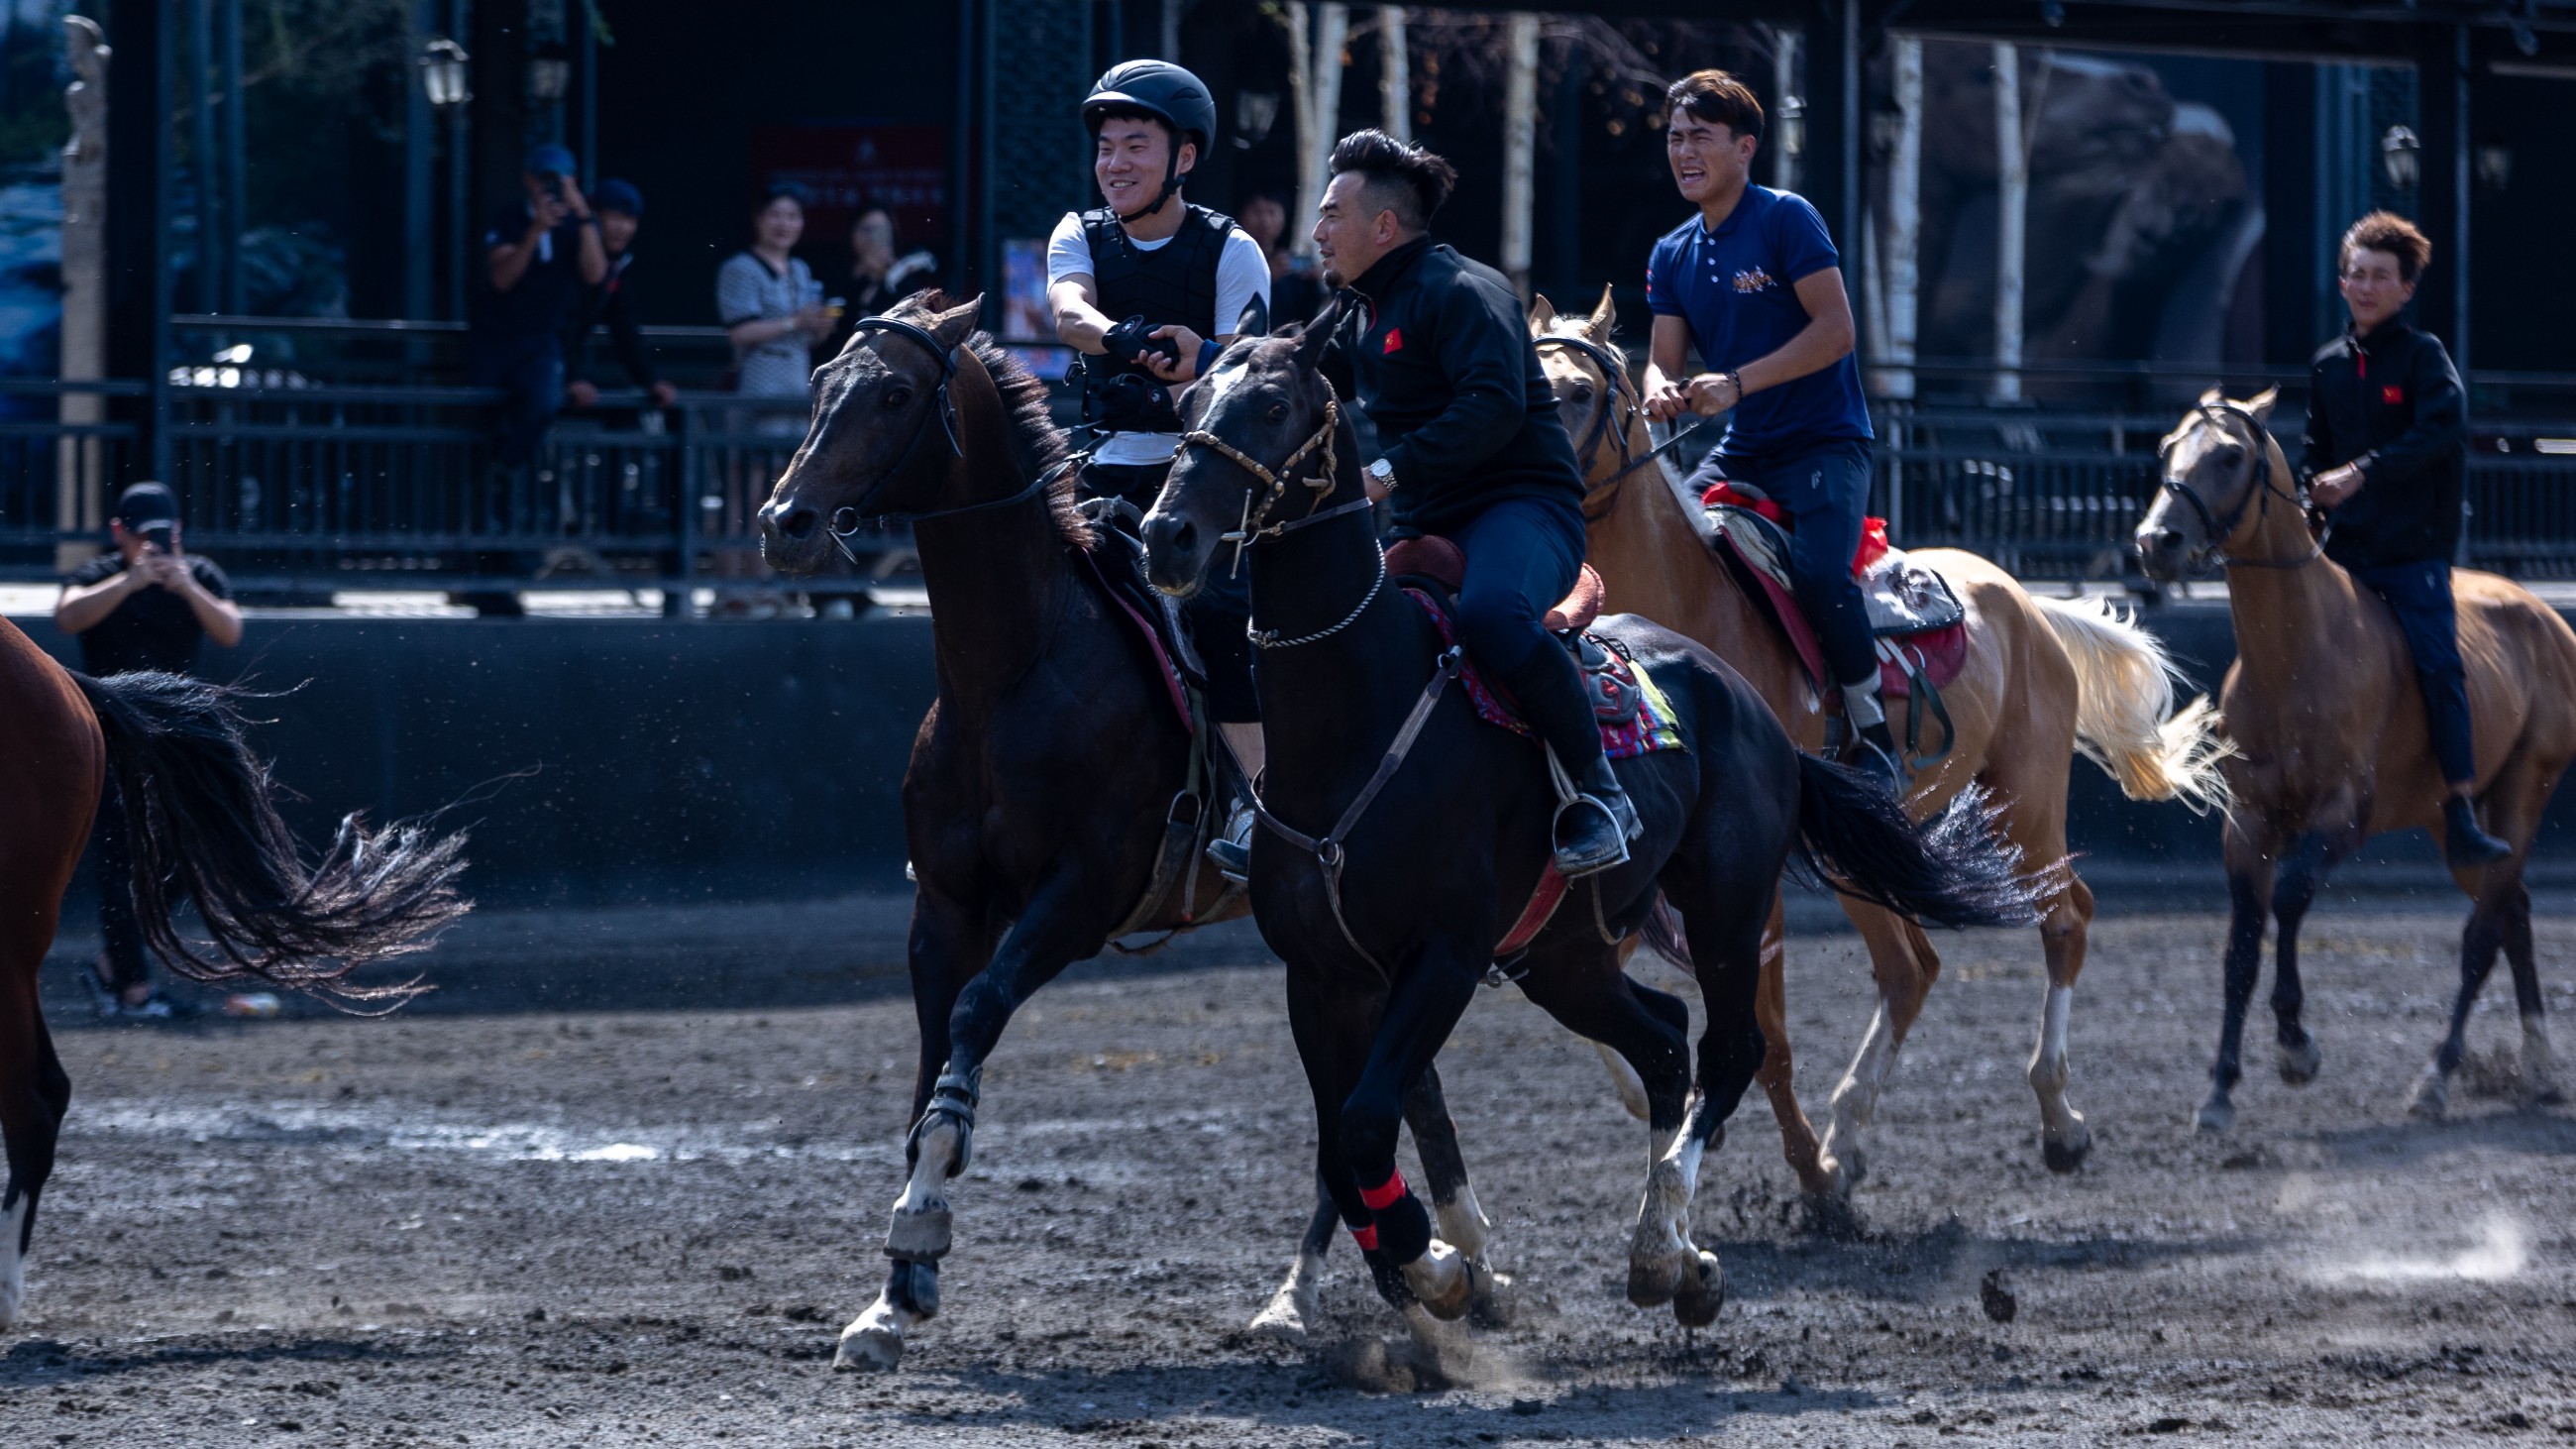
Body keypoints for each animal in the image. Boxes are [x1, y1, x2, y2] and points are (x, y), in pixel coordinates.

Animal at [752, 293, 1525, 1361]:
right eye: (825, 380)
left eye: (896, 393)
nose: (783, 520)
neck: (1012, 675)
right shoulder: (942, 909)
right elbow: (927, 1061)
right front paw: (892, 1294)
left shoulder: (1078, 896)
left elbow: (973, 1018)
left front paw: (920, 1225)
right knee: (1407, 1089)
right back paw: (1447, 1265)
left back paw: (1356, 1282)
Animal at [1138, 313, 2040, 1330]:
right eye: (1187, 399)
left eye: (1273, 405)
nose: (1166, 534)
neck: (1360, 717)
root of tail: (1755, 711)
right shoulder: (1321, 973)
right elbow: (1345, 1138)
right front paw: (1422, 1269)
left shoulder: (1444, 956)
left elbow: (1369, 1121)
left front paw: (1435, 1263)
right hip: (1561, 956)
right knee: (1664, 1041)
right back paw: (1680, 1253)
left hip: (1726, 905)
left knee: (1731, 1048)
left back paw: (1670, 1243)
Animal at [1525, 287, 2235, 1190]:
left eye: (1579, 391)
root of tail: (2027, 602)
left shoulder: (1752, 880)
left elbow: (1765, 1039)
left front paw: (1805, 1178)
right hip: (1865, 846)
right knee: (1911, 967)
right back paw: (1850, 1131)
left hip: (2025, 804)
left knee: (2065, 916)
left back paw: (2057, 1120)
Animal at [2132, 389, 2576, 1124]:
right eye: (2169, 448)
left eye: (2230, 456)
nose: (2155, 542)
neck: (2296, 652)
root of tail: (2548, 620)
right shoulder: (2247, 823)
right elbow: (2242, 943)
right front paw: (2220, 1087)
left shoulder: (2341, 818)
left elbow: (2290, 899)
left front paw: (2295, 1045)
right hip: (2455, 826)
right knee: (2511, 912)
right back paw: (2538, 1065)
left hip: (2523, 794)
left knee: (2483, 935)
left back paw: (2437, 1076)